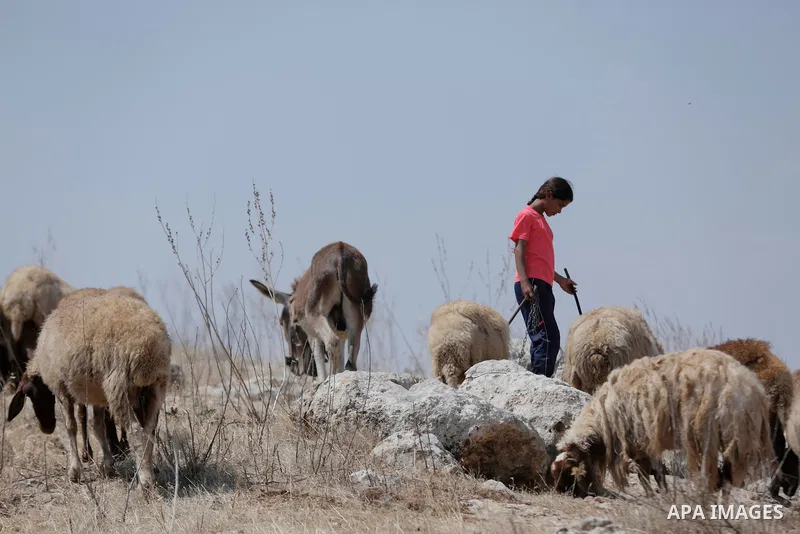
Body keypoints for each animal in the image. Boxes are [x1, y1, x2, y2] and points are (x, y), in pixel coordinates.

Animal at [6, 292, 171, 489]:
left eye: (30, 394)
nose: (46, 428)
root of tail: (149, 344)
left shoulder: (62, 389)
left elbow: (71, 427)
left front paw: (74, 472)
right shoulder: (96, 394)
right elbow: (98, 427)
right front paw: (108, 467)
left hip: (120, 386)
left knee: (137, 431)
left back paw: (144, 482)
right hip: (156, 386)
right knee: (149, 430)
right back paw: (149, 475)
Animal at [250, 241, 378, 381]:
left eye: (282, 322)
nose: (294, 368)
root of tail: (340, 252)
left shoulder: (312, 334)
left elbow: (319, 359)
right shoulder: (341, 332)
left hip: (317, 317)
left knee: (332, 342)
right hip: (356, 317)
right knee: (351, 357)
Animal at [551, 348, 774, 499]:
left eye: (566, 472)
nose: (558, 492)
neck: (604, 419)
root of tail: (753, 387)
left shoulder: (643, 440)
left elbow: (650, 473)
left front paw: (657, 495)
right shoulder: (642, 444)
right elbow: (651, 472)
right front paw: (660, 494)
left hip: (714, 433)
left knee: (720, 475)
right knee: (727, 475)